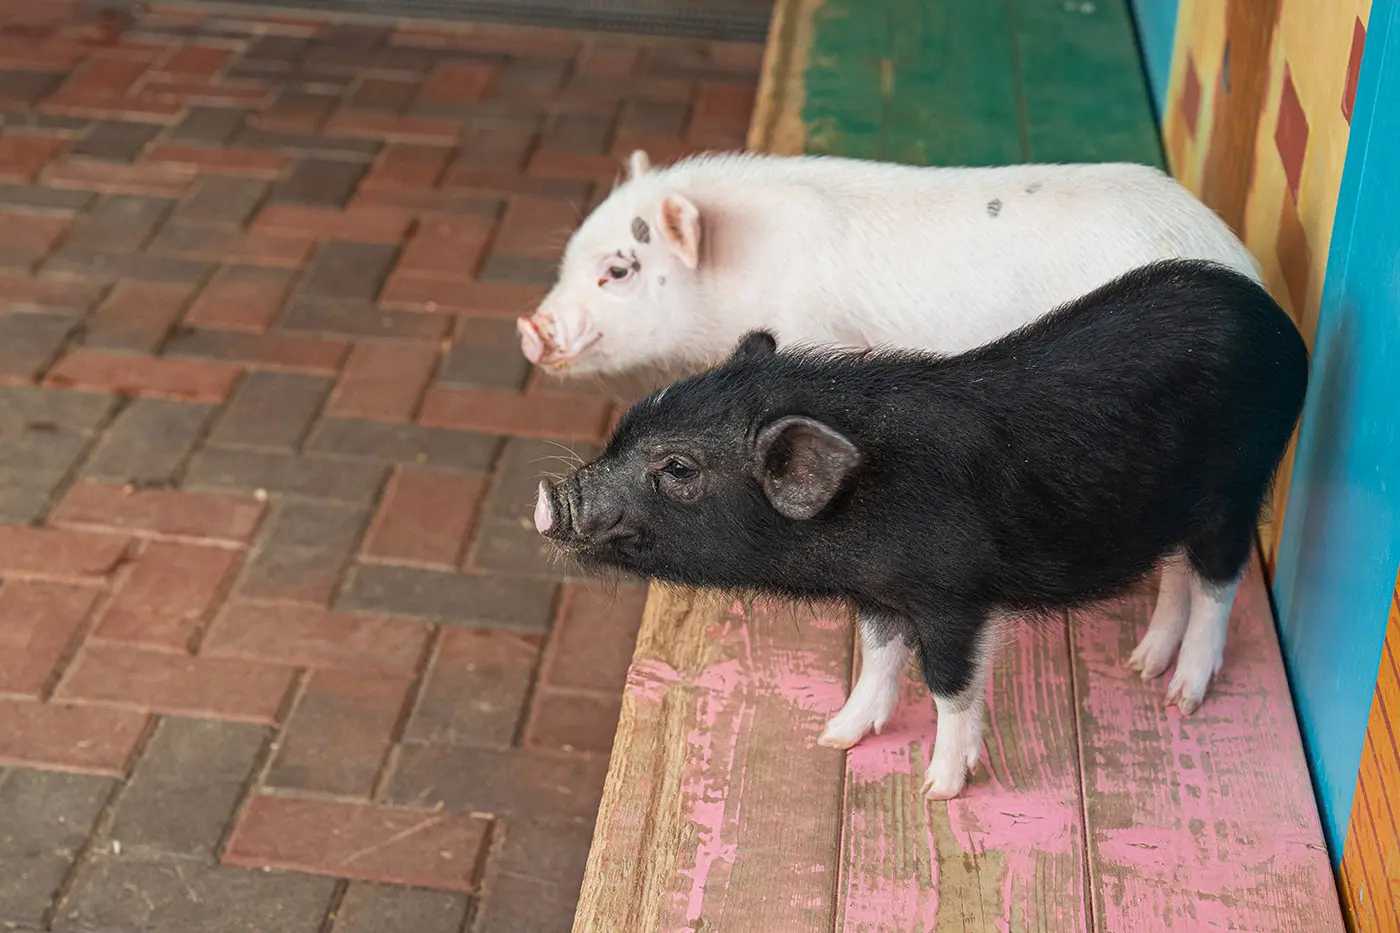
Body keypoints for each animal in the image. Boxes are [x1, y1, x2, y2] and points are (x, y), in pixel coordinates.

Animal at [533, 259, 1309, 799]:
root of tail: (1282, 326)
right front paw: (833, 738)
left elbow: (947, 685)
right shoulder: (881, 591)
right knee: (1178, 572)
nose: (551, 495)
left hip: (1237, 489)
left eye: (678, 468)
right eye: (628, 427)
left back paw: (1182, 696)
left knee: (1218, 582)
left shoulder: (954, 594)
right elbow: (879, 655)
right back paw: (1143, 664)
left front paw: (938, 789)